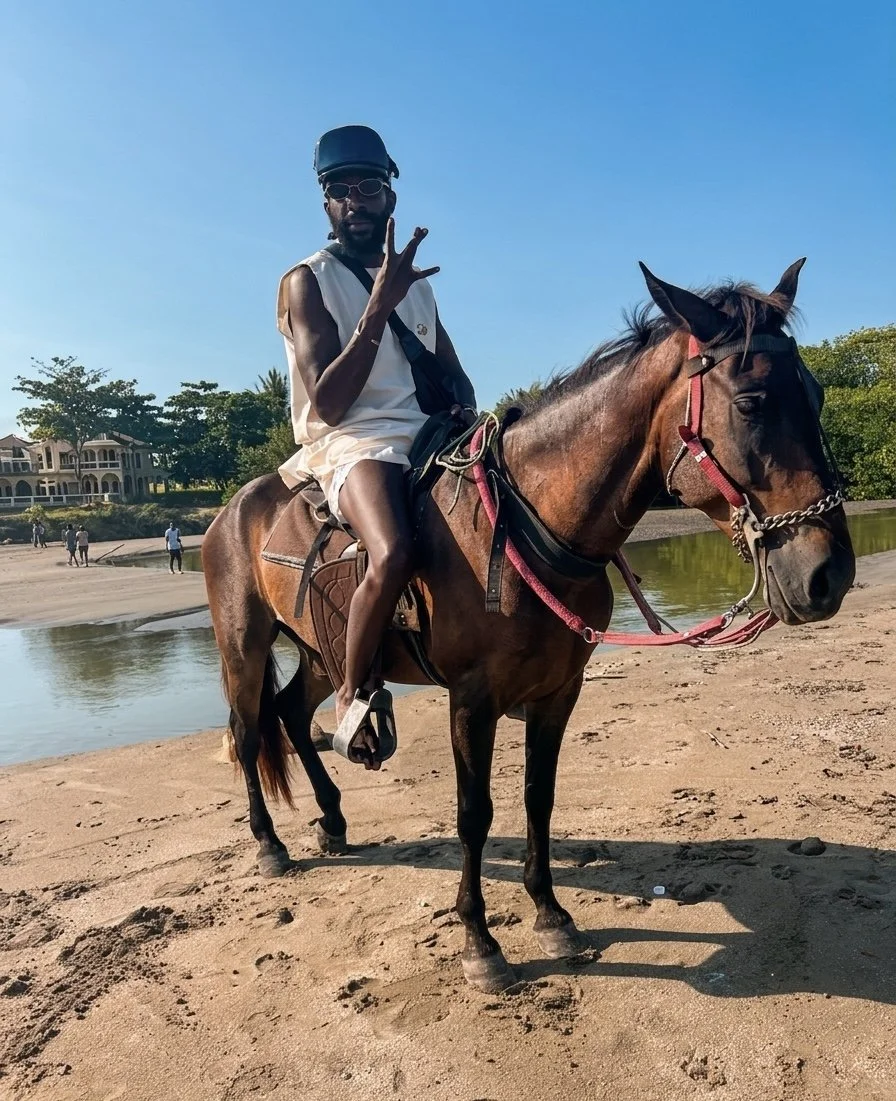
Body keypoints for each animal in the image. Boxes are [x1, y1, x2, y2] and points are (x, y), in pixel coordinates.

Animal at [202, 259, 855, 992]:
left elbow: (538, 797)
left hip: (325, 649)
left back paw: (334, 817)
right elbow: (475, 813)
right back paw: (269, 842)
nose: (829, 572)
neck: (527, 521)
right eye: (750, 404)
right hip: (243, 644)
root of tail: (234, 507)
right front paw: (479, 939)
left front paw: (549, 911)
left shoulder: (559, 691)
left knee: (290, 711)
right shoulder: (472, 699)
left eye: (816, 393)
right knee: (248, 730)